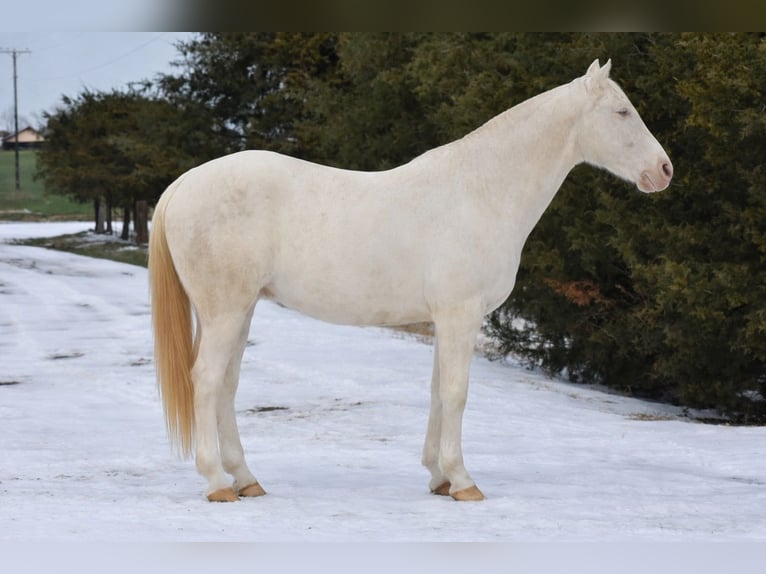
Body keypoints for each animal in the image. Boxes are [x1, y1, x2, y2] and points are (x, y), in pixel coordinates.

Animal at [149, 59, 673, 503]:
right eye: (622, 111)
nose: (664, 170)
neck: (482, 191)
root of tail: (185, 183)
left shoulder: (445, 318)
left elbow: (439, 391)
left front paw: (439, 477)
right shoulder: (461, 314)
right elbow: (457, 393)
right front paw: (463, 481)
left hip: (238, 310)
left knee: (226, 385)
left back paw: (246, 479)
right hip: (226, 311)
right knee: (207, 380)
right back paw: (218, 483)